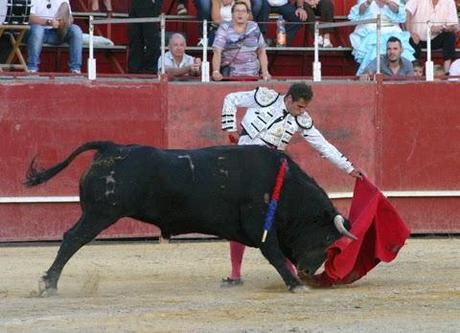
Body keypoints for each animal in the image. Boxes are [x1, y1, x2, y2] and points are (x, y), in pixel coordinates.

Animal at [25, 140, 356, 294]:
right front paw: (294, 284)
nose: (309, 271)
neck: (284, 186)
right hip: (100, 213)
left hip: (98, 213)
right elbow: (274, 254)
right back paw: (48, 283)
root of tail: (111, 147)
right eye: (327, 238)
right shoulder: (260, 228)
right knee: (72, 239)